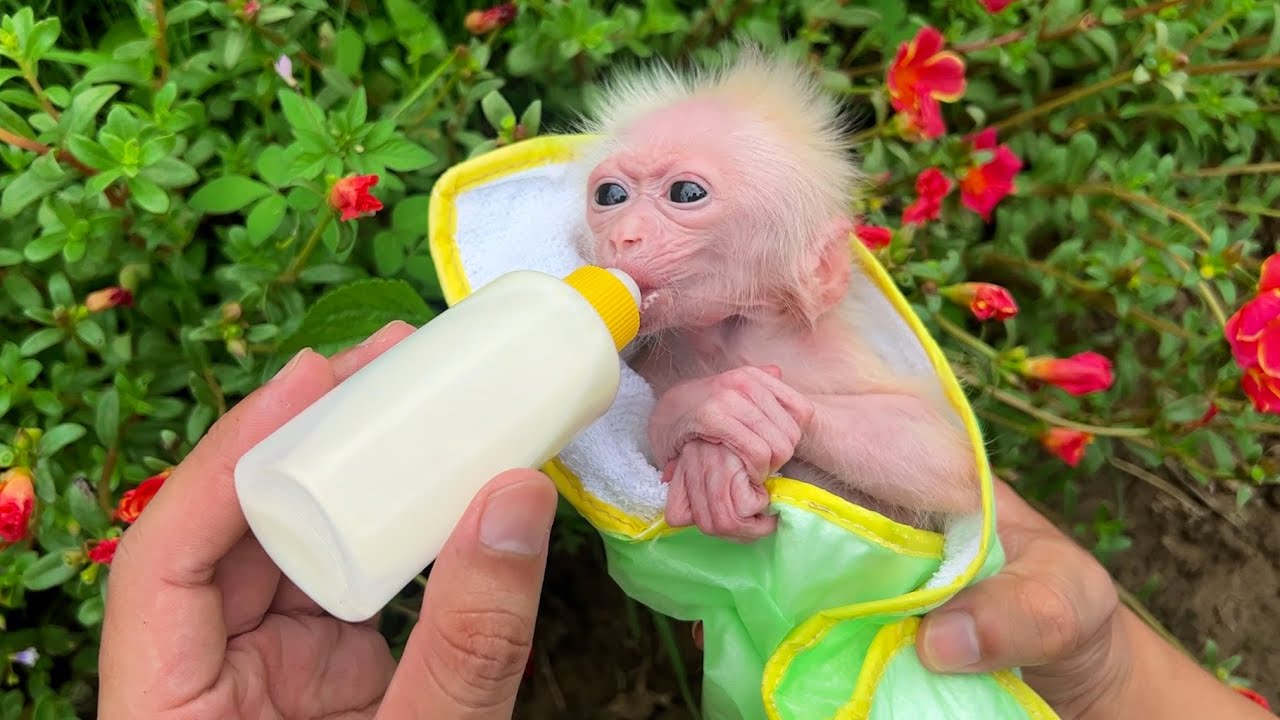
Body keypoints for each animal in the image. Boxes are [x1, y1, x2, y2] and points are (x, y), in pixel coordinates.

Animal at [568, 44, 980, 541]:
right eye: (611, 196)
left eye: (685, 192)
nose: (622, 237)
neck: (727, 335)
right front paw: (700, 418)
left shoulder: (832, 347)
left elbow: (950, 454)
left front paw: (724, 421)